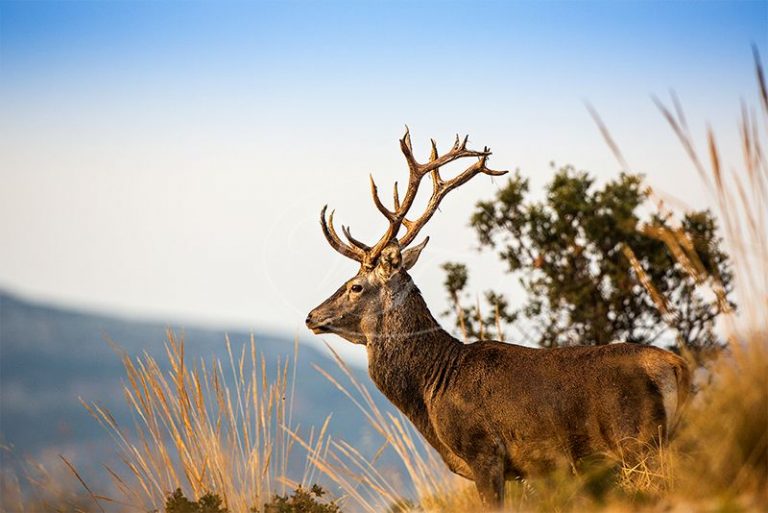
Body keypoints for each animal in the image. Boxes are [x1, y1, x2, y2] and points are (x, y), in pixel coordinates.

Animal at [304, 129, 688, 508]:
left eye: (355, 286)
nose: (311, 316)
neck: (434, 384)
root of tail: (676, 366)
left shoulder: (484, 451)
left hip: (637, 441)